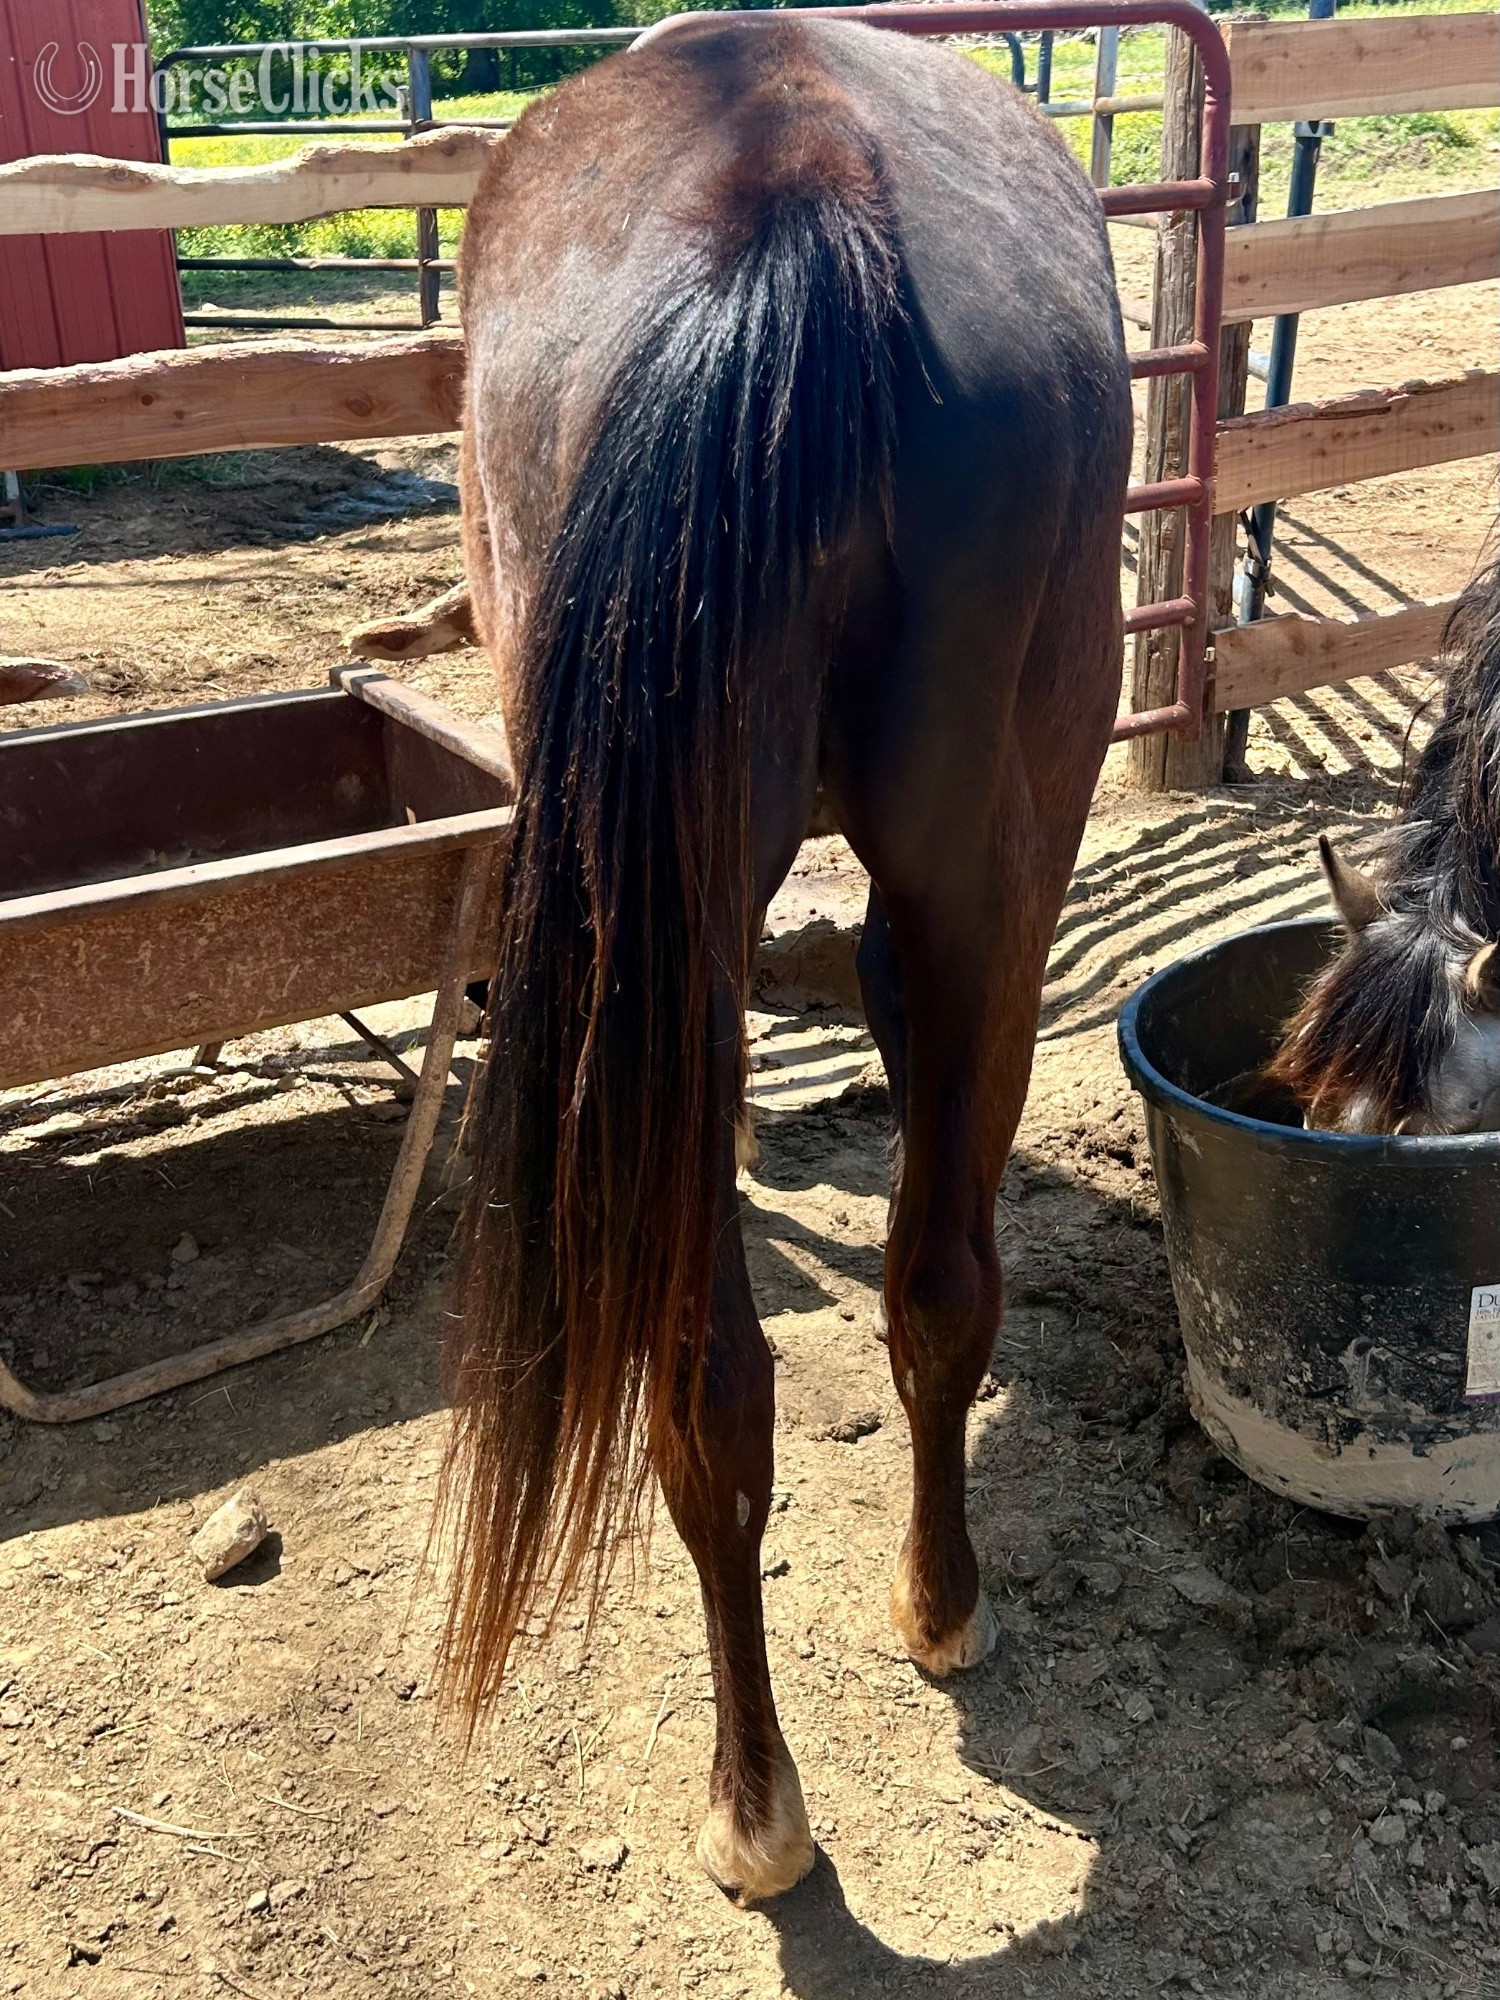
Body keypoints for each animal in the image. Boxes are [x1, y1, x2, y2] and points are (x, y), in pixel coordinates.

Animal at [391, 13, 1131, 1900]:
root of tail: (788, 186)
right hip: (951, 868)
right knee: (921, 1290)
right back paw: (925, 1626)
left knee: (714, 1381)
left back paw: (756, 1800)